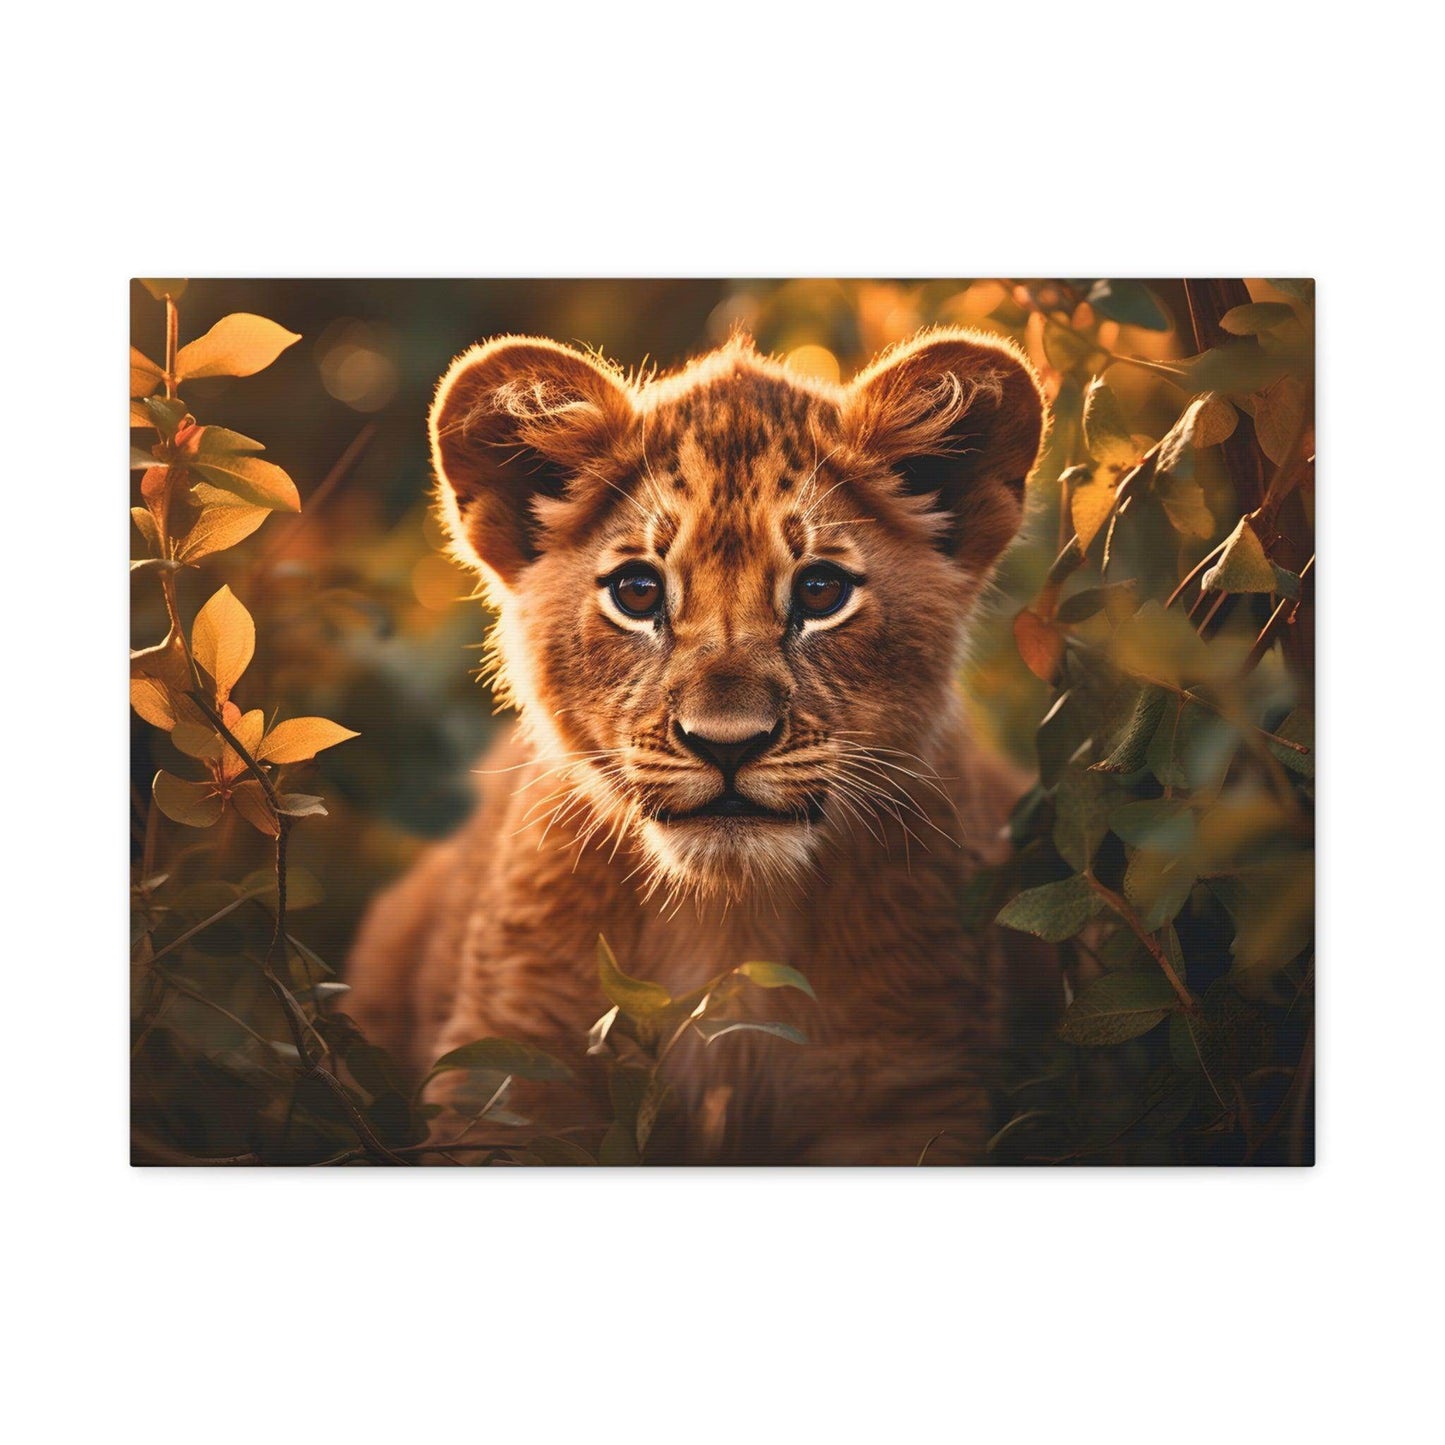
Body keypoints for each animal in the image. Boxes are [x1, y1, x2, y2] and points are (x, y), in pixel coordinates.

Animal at [344, 325, 1054, 1164]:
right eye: (637, 592)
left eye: (820, 592)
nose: (727, 744)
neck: (728, 920)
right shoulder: (509, 1072)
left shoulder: (908, 1087)